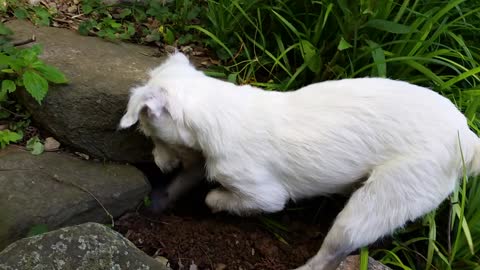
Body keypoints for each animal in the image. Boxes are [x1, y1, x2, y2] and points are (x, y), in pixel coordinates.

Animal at [119, 52, 480, 270]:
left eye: (149, 132)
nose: (158, 164)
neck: (219, 109)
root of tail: (465, 137)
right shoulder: (201, 161)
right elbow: (185, 180)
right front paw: (158, 203)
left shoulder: (263, 194)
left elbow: (215, 197)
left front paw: (209, 202)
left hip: (384, 198)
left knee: (332, 251)